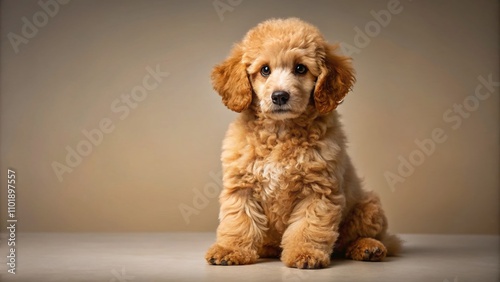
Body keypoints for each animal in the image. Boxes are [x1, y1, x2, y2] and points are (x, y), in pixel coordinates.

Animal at [205, 17, 400, 268]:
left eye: (300, 68)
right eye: (265, 70)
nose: (279, 96)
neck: (281, 132)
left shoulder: (317, 190)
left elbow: (308, 227)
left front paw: (304, 254)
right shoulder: (242, 186)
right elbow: (239, 221)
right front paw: (229, 249)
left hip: (368, 207)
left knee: (367, 238)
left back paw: (369, 247)